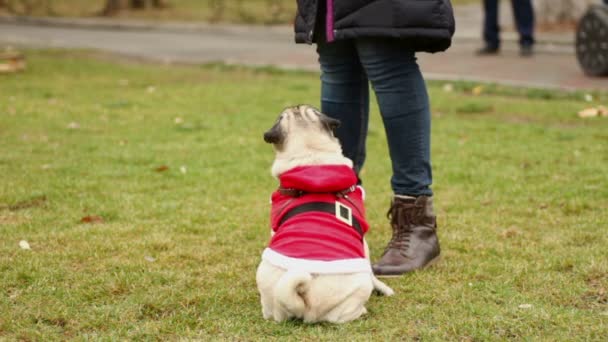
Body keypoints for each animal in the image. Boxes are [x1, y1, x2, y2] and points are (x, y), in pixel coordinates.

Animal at [256, 104, 394, 324]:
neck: (311, 157)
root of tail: (304, 296)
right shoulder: (362, 240)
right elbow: (372, 270)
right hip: (356, 288)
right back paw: (361, 311)